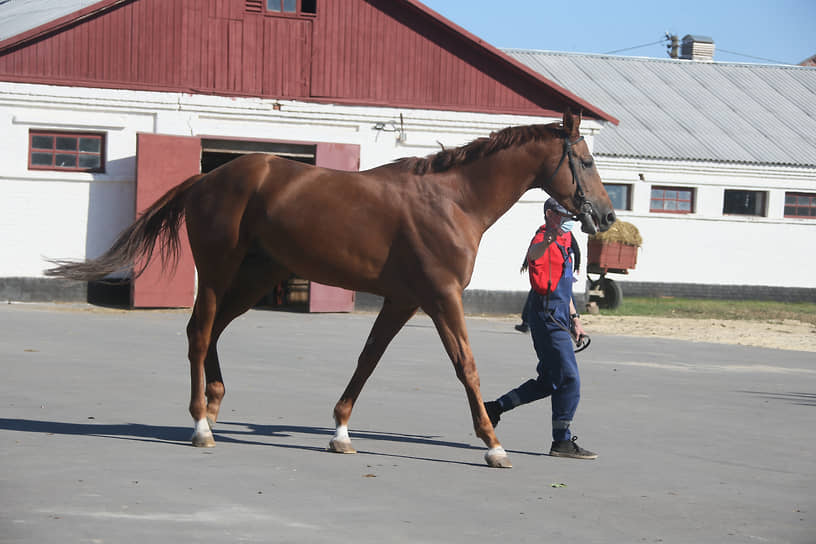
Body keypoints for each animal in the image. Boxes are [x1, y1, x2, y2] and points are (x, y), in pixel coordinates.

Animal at [47, 109, 616, 468]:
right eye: (586, 161)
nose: (607, 216)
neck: (453, 200)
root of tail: (208, 178)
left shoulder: (404, 300)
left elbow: (368, 360)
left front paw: (340, 432)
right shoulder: (441, 298)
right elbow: (467, 367)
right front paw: (493, 445)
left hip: (255, 278)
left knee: (213, 334)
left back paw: (213, 406)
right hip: (217, 271)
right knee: (199, 332)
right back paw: (200, 427)